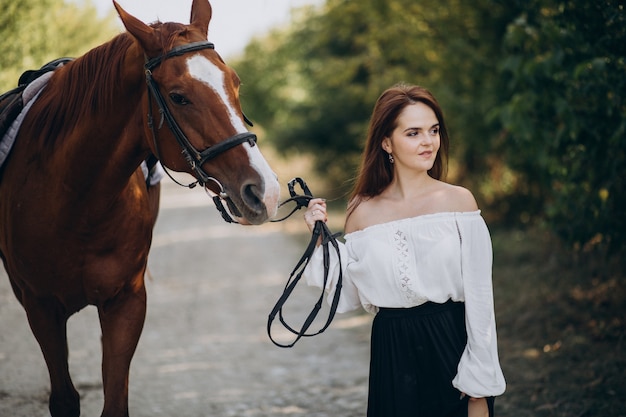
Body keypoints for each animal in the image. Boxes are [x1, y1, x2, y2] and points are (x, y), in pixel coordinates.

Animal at [0, 1, 280, 414]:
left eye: (235, 83)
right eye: (179, 97)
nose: (265, 191)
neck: (75, 200)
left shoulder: (126, 303)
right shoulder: (41, 307)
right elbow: (64, 398)